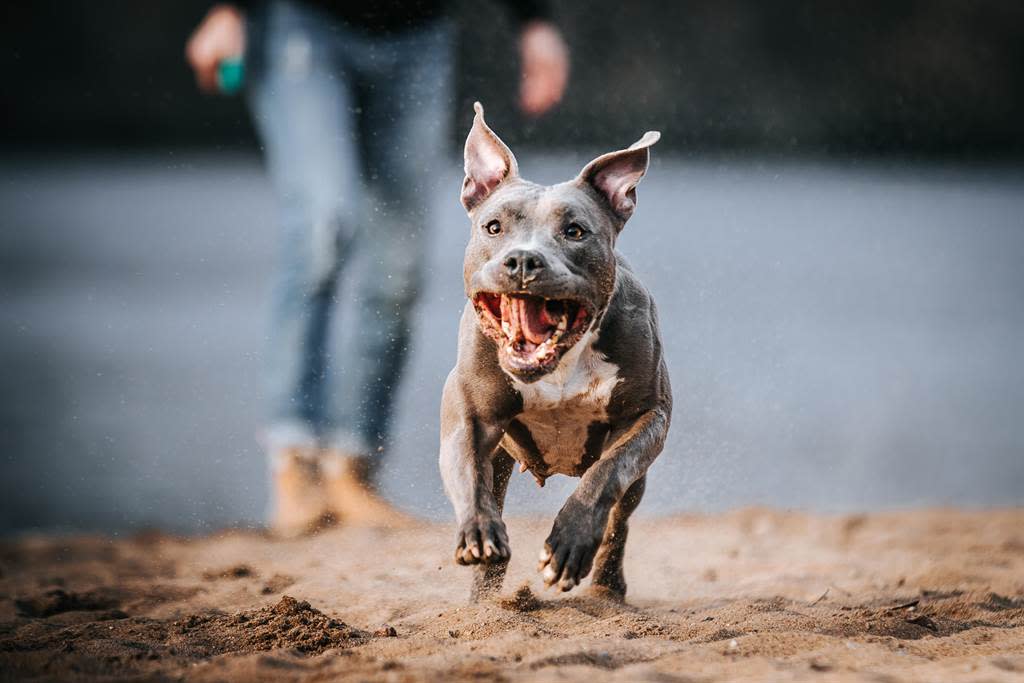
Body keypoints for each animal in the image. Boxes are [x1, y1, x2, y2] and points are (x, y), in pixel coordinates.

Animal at [438, 104, 671, 602]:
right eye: (493, 227)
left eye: (575, 231)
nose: (524, 260)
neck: (559, 363)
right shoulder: (469, 415)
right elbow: (468, 473)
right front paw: (478, 531)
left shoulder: (648, 415)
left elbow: (605, 476)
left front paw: (569, 545)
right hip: (501, 457)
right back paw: (486, 599)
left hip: (637, 481)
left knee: (620, 517)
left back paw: (607, 586)